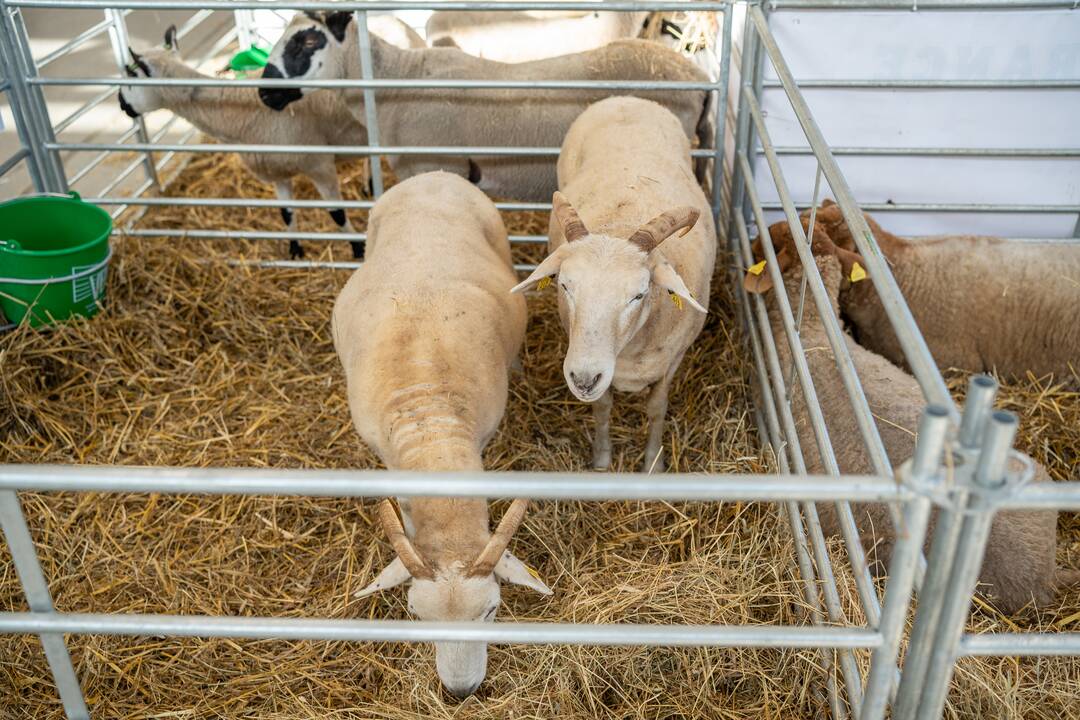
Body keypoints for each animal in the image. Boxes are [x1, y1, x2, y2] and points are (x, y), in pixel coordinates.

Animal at [509, 98, 712, 474]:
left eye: (639, 293)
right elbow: (602, 408)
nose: (583, 379)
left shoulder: (672, 361)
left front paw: (653, 463)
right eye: (565, 286)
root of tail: (628, 98)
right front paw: (602, 461)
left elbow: (657, 409)